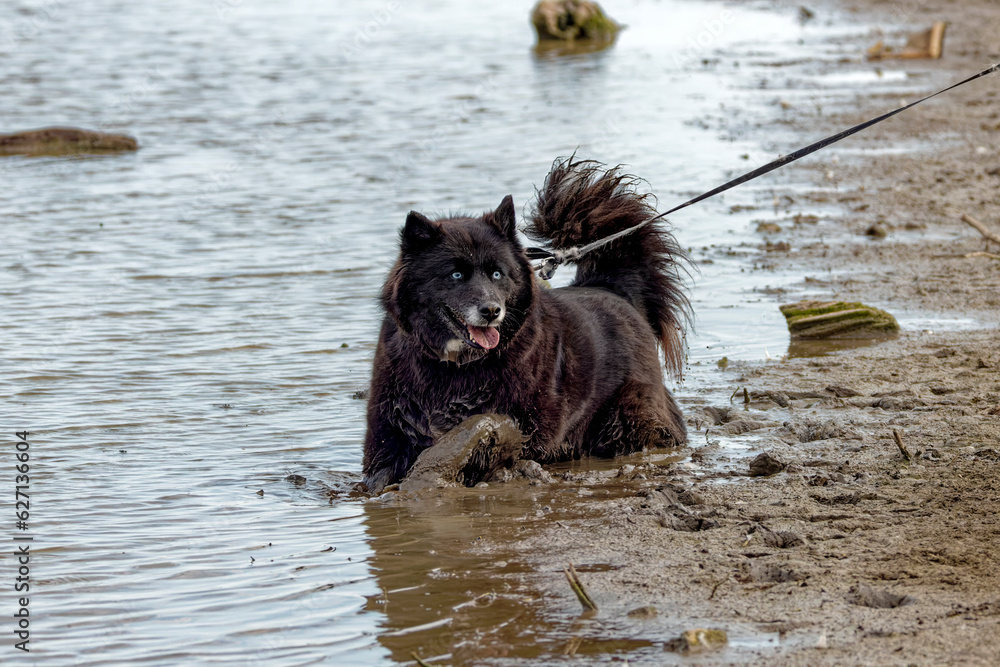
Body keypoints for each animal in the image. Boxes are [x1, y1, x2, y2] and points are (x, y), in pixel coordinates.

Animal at [362, 155, 688, 490]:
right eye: (455, 274)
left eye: (497, 273)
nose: (492, 310)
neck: (455, 367)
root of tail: (611, 287)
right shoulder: (390, 435)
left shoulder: (530, 426)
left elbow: (484, 434)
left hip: (626, 418)